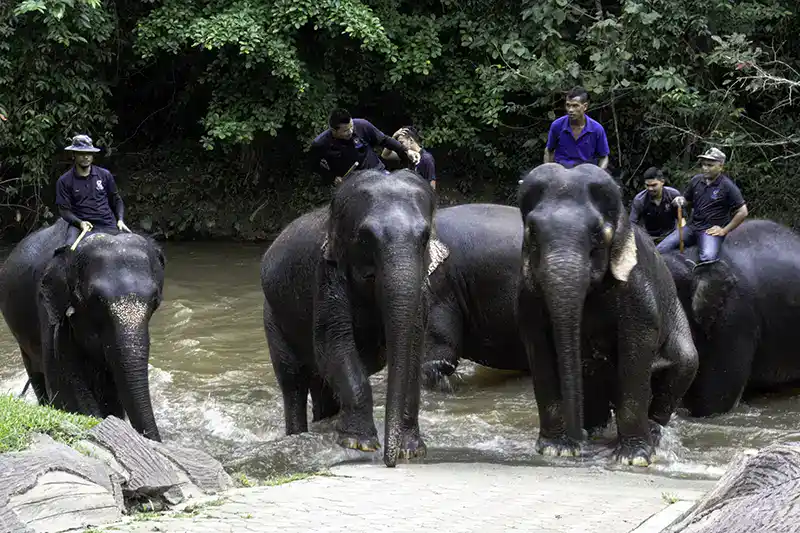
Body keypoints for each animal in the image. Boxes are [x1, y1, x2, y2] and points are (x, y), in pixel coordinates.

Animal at [260, 169, 438, 467]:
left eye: (425, 237)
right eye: (365, 238)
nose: (390, 462)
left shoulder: (423, 286)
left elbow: (414, 346)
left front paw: (411, 450)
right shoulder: (326, 274)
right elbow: (333, 343)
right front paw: (359, 444)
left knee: (321, 385)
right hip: (272, 316)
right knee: (292, 381)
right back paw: (298, 435)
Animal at [516, 163, 698, 466]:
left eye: (597, 234)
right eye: (532, 232)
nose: (577, 446)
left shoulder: (637, 286)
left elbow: (637, 345)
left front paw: (634, 458)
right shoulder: (527, 293)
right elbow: (538, 346)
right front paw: (556, 449)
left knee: (685, 364)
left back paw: (652, 434)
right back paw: (594, 431)